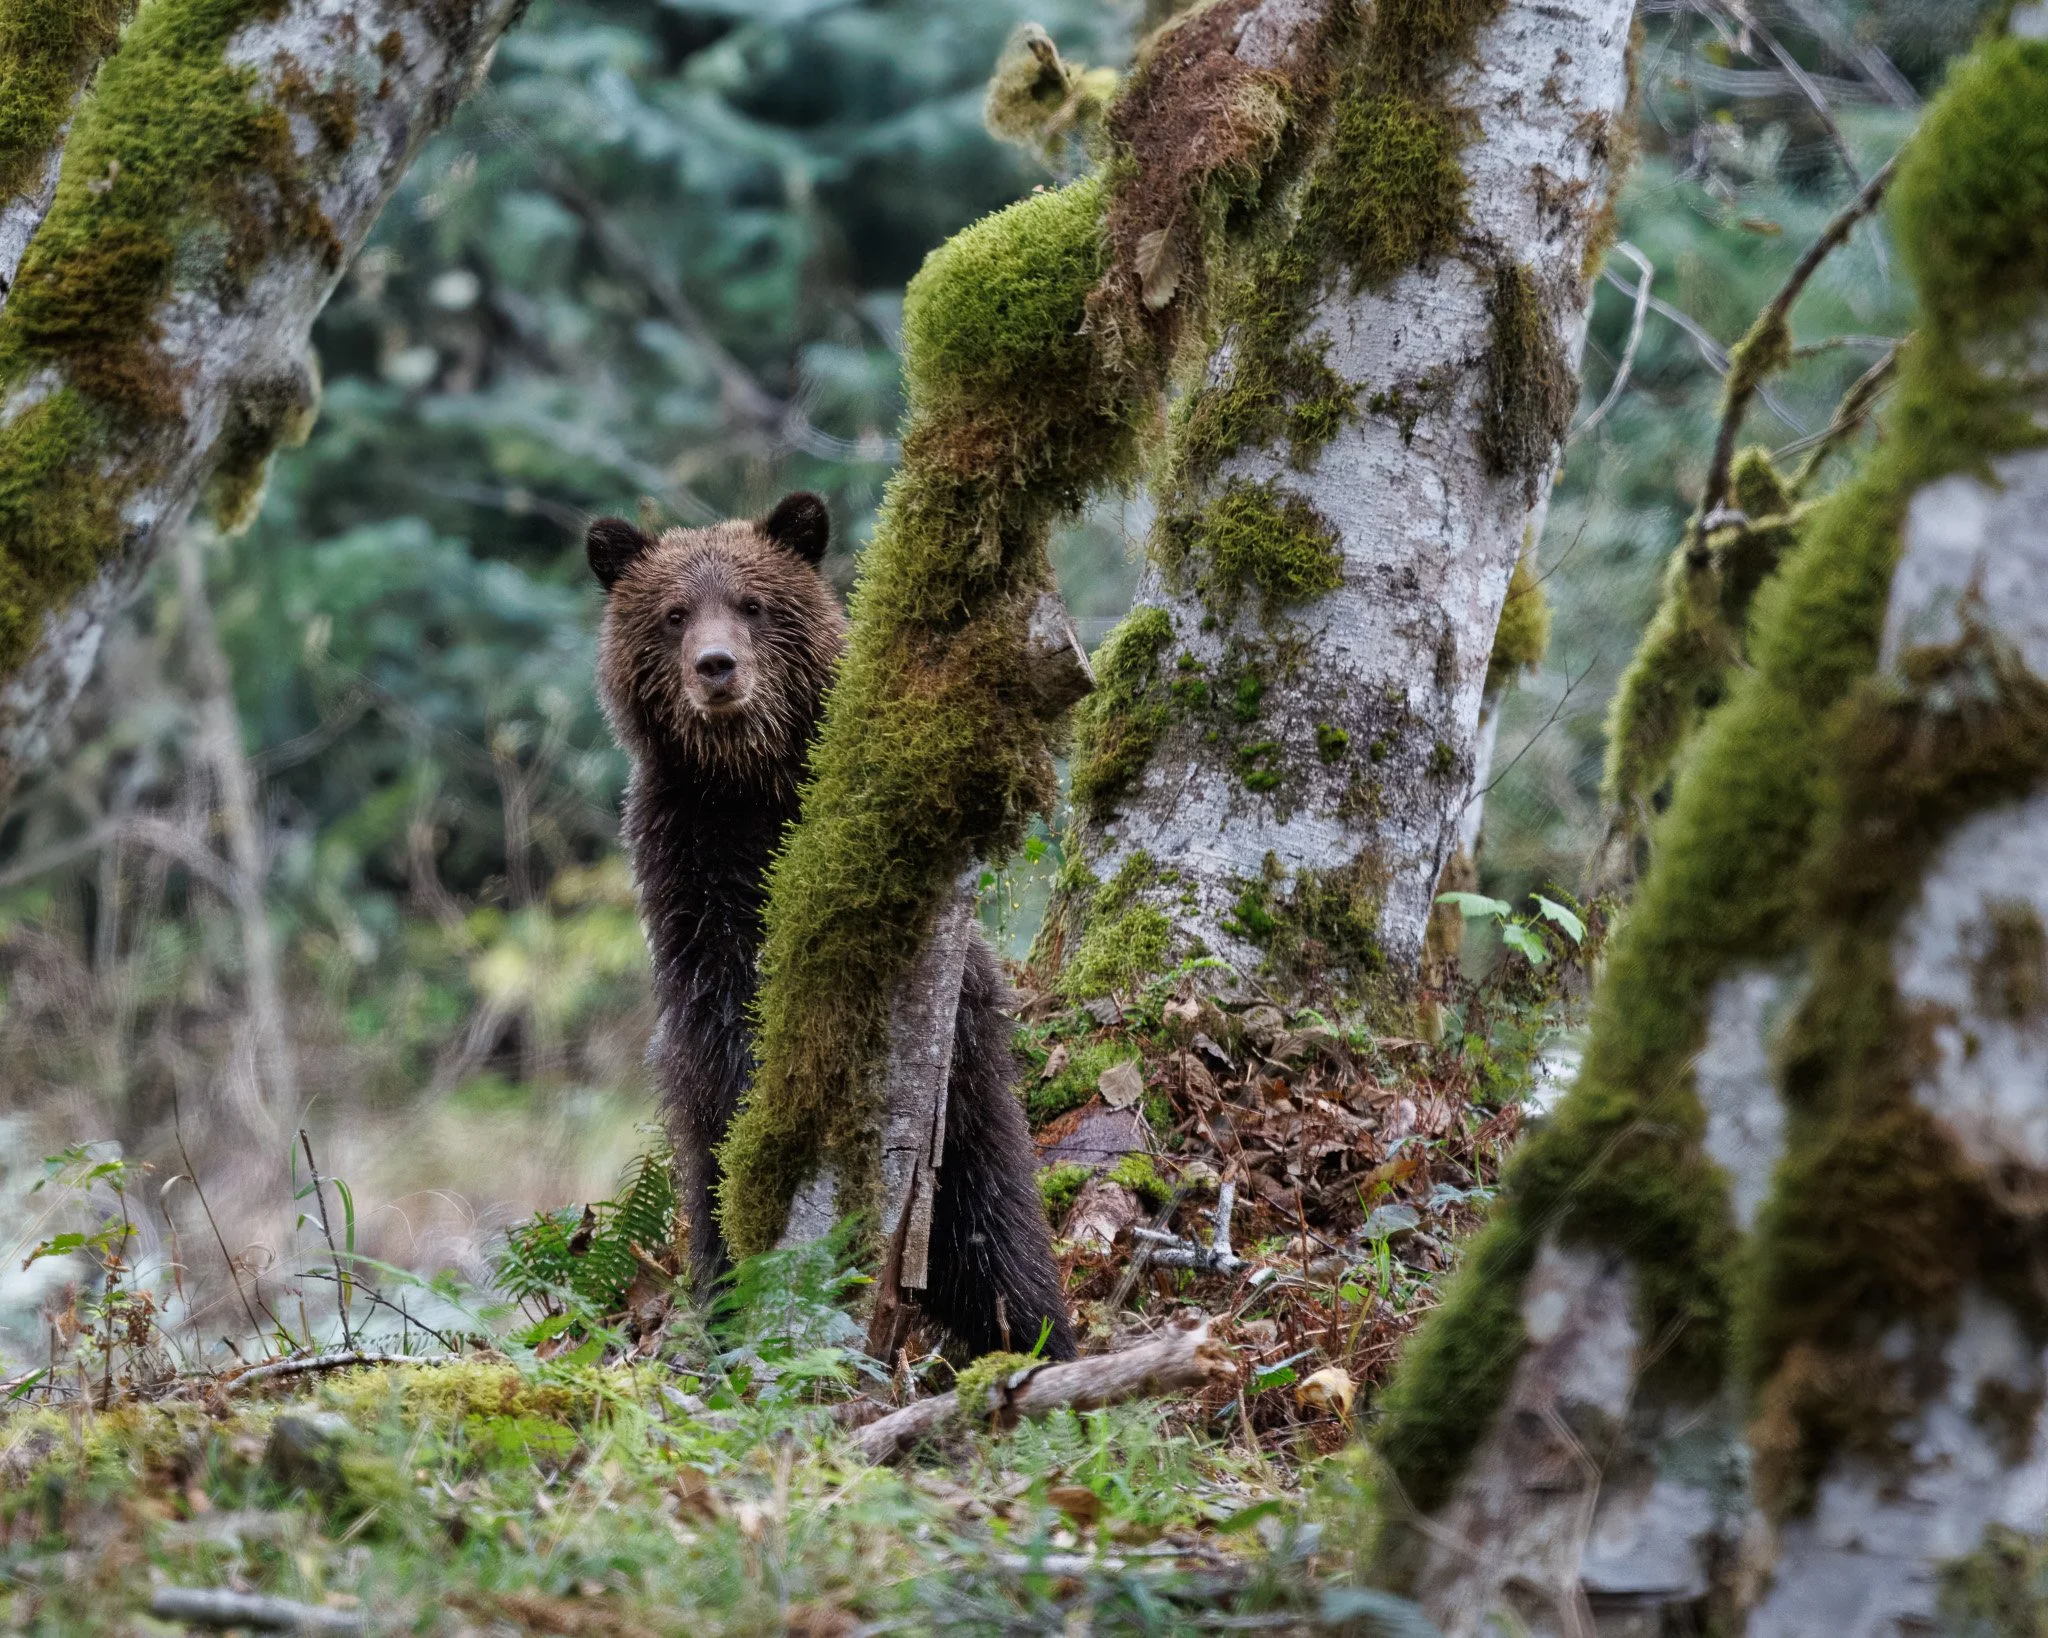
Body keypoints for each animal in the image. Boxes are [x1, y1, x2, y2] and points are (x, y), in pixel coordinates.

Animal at [588, 493, 1078, 1361]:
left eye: (752, 603)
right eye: (674, 614)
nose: (717, 667)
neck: (745, 780)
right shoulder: (688, 867)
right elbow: (725, 1006)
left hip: (971, 1102)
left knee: (1000, 1227)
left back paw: (1040, 1337)